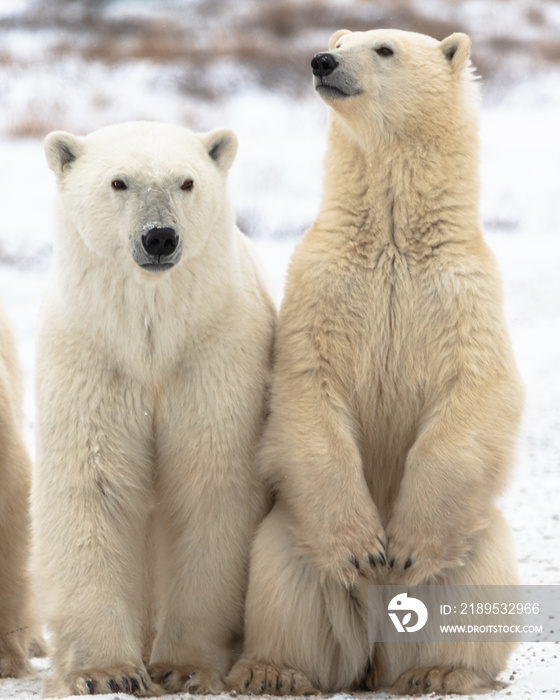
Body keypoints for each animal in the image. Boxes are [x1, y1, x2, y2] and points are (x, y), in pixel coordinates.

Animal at [34, 120, 276, 696]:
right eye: (119, 182)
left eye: (186, 181)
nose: (160, 237)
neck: (150, 340)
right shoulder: (94, 359)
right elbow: (93, 489)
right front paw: (107, 672)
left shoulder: (213, 357)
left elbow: (210, 486)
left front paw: (182, 666)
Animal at [225, 26, 524, 696]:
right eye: (338, 40)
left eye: (384, 48)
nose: (321, 61)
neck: (393, 238)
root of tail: (373, 652)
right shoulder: (322, 285)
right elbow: (306, 388)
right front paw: (364, 550)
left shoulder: (463, 294)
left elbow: (475, 393)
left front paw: (404, 549)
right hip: (290, 533)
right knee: (286, 584)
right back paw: (272, 669)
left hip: (478, 540)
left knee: (472, 582)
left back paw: (442, 669)